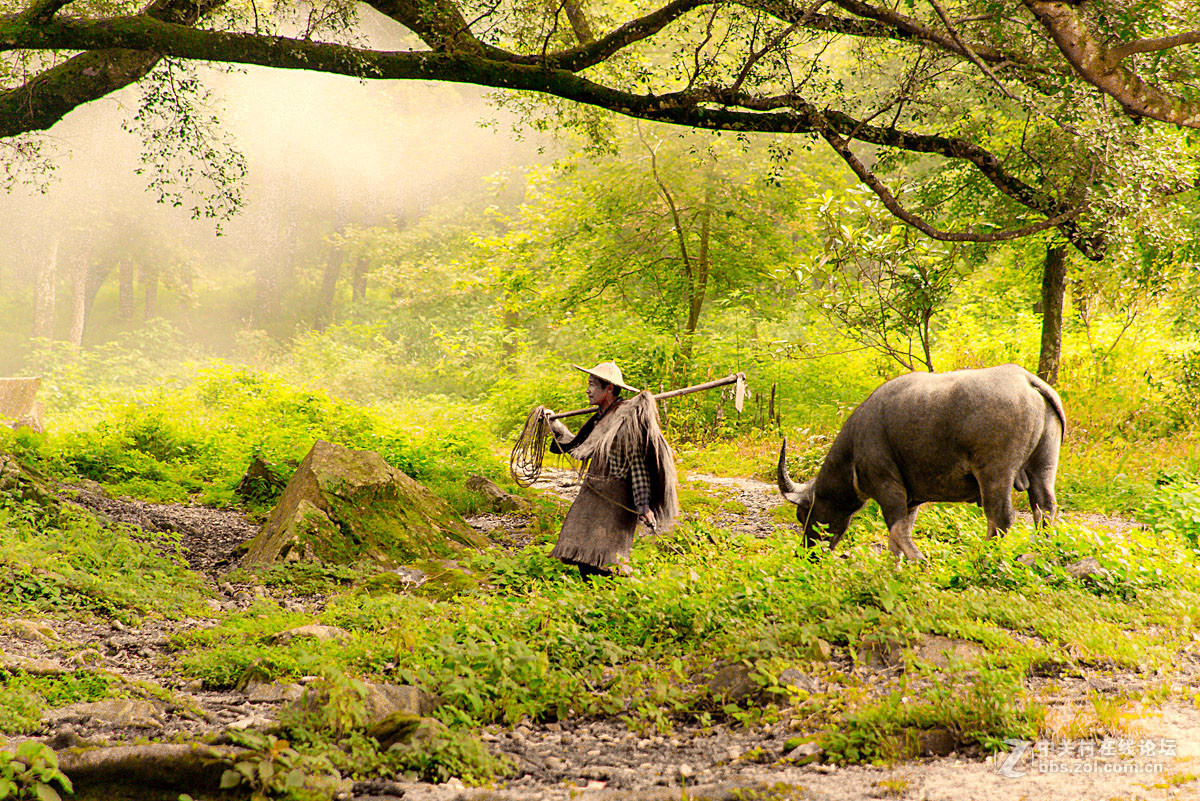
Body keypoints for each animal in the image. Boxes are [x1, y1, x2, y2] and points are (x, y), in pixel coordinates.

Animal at [777, 364, 1070, 561]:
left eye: (802, 513)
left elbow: (896, 530)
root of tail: (1027, 380)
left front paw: (919, 561)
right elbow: (899, 536)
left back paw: (983, 558)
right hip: (1043, 467)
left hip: (995, 472)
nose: (807, 551)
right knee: (1045, 509)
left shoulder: (888, 487)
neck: (853, 450)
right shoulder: (912, 499)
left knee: (1000, 517)